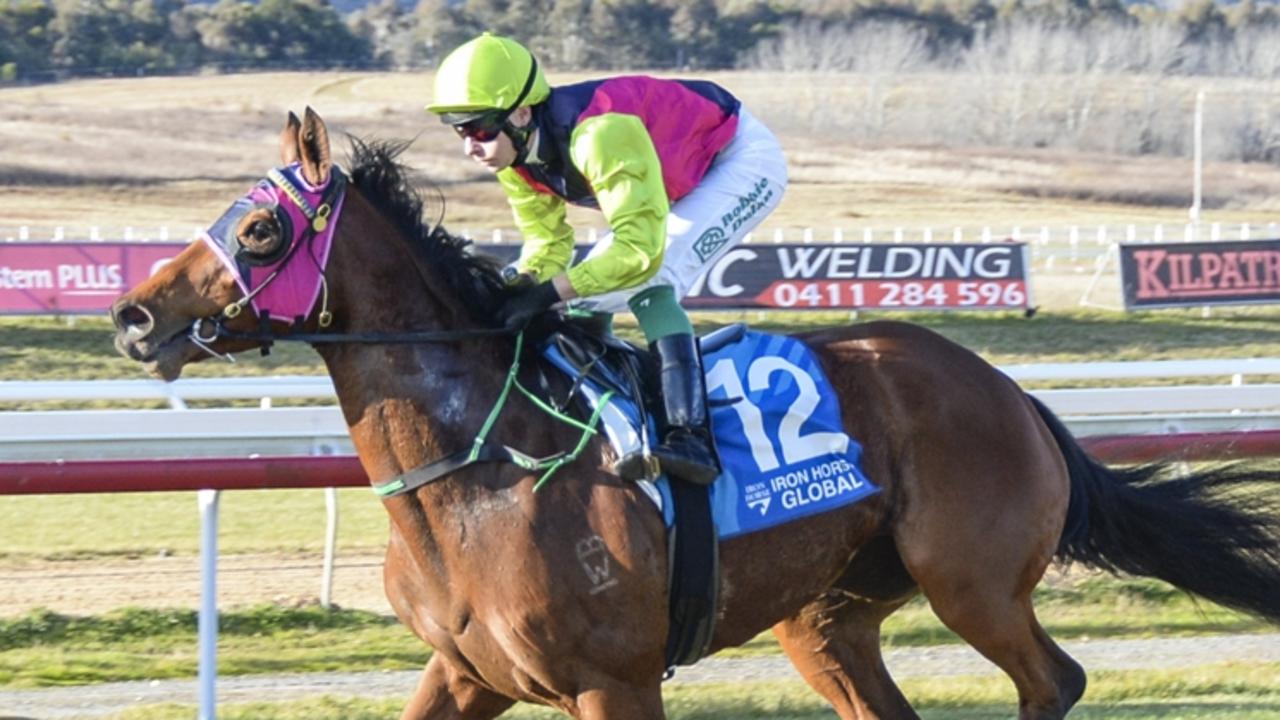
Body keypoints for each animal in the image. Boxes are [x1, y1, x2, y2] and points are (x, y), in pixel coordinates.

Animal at [112, 107, 1280, 717]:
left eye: (259, 229)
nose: (134, 316)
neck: (476, 479)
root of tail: (1010, 391)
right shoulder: (462, 670)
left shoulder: (613, 681)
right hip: (827, 620)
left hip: (973, 584)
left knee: (1054, 678)